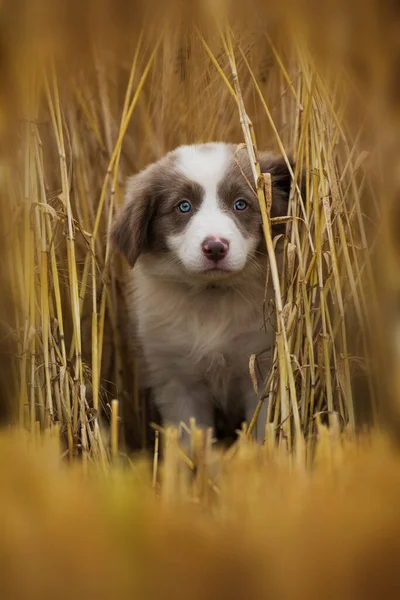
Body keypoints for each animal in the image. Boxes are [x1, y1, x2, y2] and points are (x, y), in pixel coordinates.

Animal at [112, 143, 294, 442]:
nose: (216, 247)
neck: (212, 296)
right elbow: (190, 439)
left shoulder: (260, 368)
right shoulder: (178, 380)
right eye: (183, 206)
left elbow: (261, 429)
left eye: (241, 204)